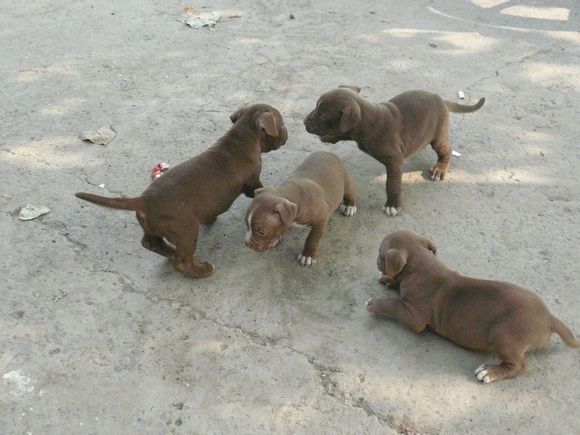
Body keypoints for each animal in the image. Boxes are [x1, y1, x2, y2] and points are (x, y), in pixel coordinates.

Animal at [75, 103, 288, 280]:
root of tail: (144, 200)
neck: (242, 134)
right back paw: (201, 270)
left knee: (150, 243)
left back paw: (169, 252)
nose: (287, 133)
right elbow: (258, 188)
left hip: (153, 227)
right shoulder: (253, 182)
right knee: (182, 261)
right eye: (282, 123)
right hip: (186, 230)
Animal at [304, 87, 484, 218]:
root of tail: (441, 100)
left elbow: (392, 185)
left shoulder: (394, 162)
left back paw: (439, 169)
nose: (305, 121)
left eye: (323, 115)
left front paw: (393, 205)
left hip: (438, 136)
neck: (368, 124)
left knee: (446, 152)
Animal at [368, 230, 580, 384]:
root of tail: (549, 317)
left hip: (503, 335)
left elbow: (393, 304)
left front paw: (374, 303)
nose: (376, 261)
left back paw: (489, 372)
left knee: (519, 366)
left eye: (380, 254)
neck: (421, 265)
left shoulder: (414, 316)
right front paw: (387, 279)